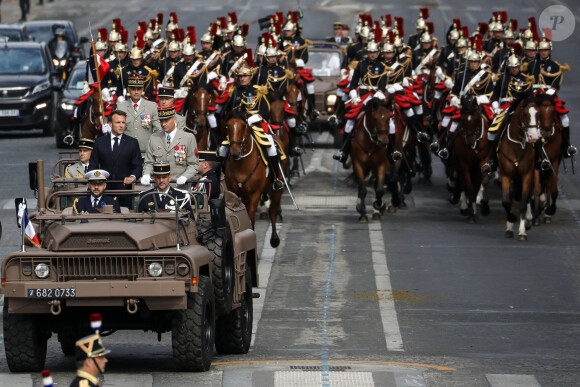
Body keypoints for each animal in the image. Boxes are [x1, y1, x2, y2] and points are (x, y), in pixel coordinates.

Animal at [222, 113, 286, 249]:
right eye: (227, 125)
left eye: (243, 125)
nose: (235, 152)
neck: (242, 165)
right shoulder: (235, 194)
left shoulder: (254, 194)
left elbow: (251, 220)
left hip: (277, 189)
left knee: (272, 211)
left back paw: (274, 239)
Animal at [454, 94, 490, 224]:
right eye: (462, 118)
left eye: (476, 118)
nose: (470, 141)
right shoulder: (464, 165)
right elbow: (469, 188)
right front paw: (471, 213)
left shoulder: (483, 162)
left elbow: (480, 184)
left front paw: (480, 207)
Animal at [496, 94, 540, 239]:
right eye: (525, 114)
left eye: (538, 114)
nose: (533, 137)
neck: (516, 146)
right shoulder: (506, 175)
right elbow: (506, 202)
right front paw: (511, 221)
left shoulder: (526, 175)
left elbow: (523, 203)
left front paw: (522, 230)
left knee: (530, 194)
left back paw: (529, 220)